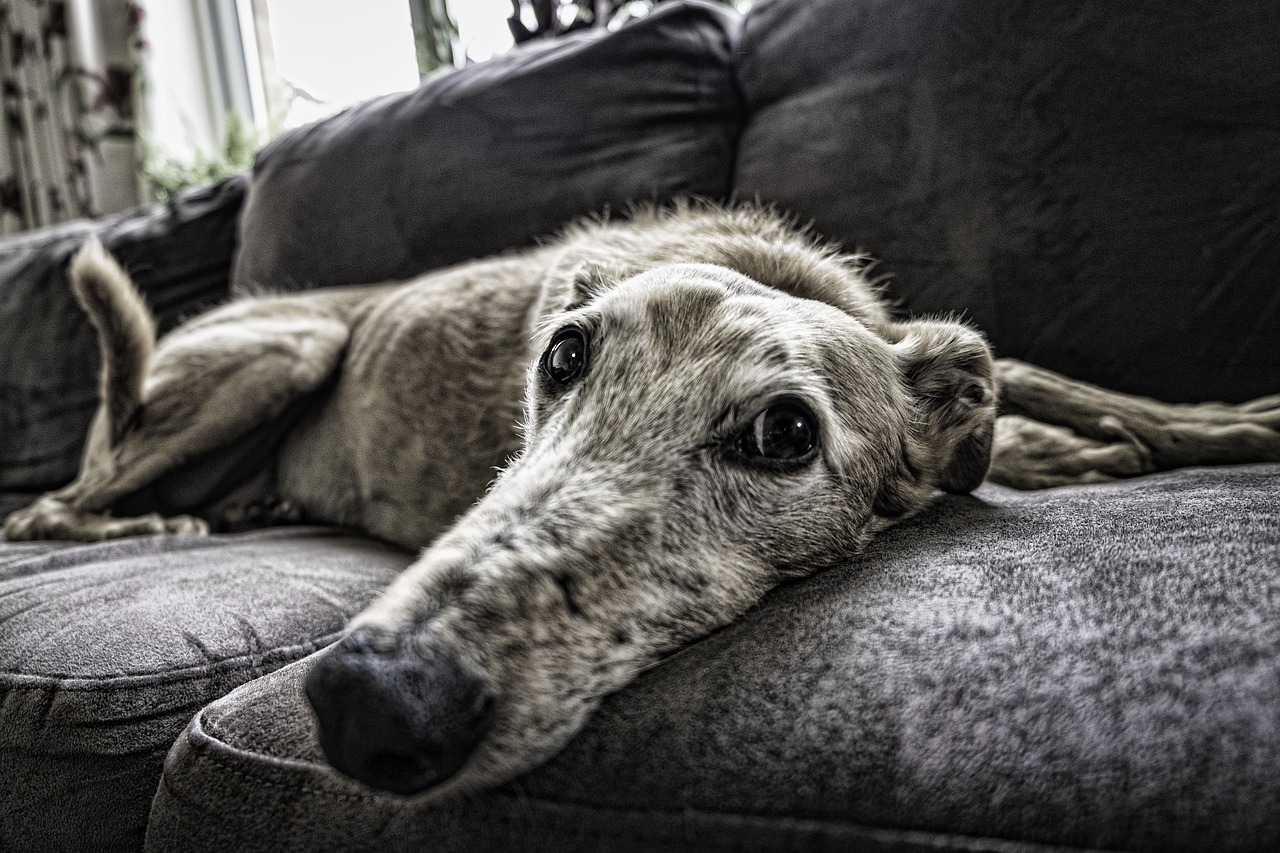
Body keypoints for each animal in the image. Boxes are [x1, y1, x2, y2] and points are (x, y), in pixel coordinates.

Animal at [2, 204, 1280, 799]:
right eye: (561, 354)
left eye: (783, 432)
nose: (370, 700)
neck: (762, 266)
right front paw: (1074, 449)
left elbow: (1042, 376)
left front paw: (1213, 424)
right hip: (281, 350)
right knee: (51, 507)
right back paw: (151, 519)